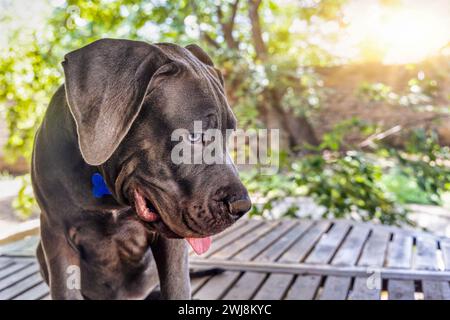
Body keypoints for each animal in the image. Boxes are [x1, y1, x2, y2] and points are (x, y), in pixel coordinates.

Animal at [33, 38, 251, 298]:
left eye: (230, 133)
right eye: (195, 136)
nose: (242, 207)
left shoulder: (171, 242)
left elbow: (177, 287)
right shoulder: (57, 235)